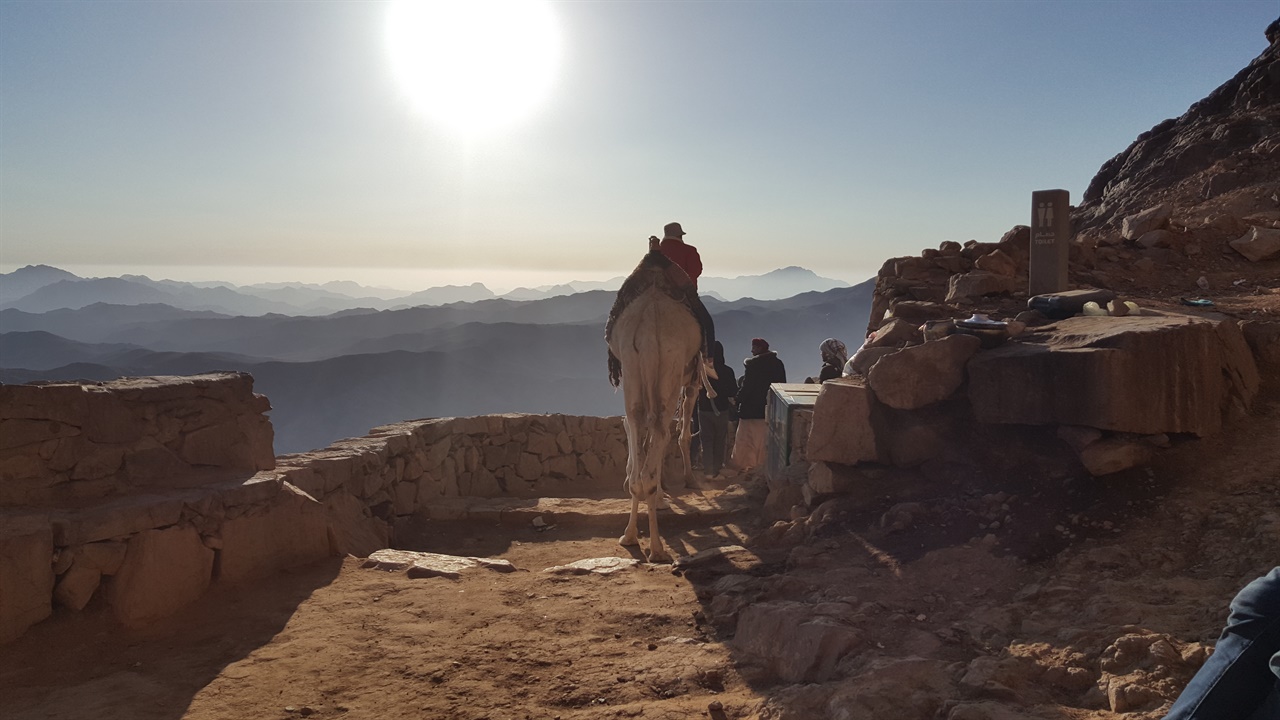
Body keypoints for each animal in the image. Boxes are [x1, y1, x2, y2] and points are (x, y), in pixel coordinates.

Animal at [601, 240, 706, 561]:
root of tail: (650, 321)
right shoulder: (691, 381)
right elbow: (680, 433)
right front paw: (686, 480)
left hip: (633, 367)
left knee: (637, 423)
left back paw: (631, 535)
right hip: (670, 367)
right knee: (661, 428)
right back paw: (657, 548)